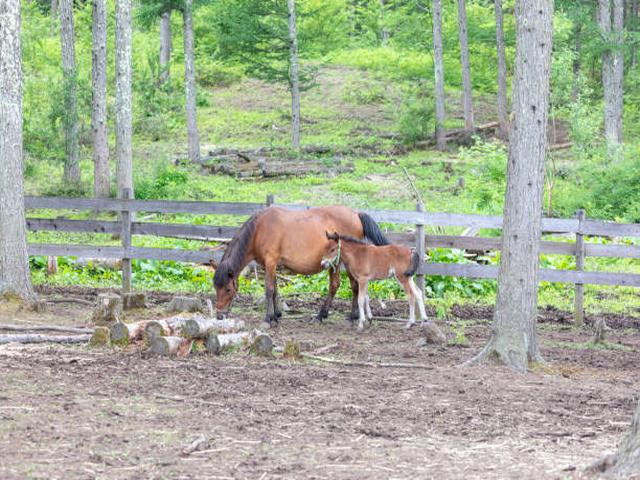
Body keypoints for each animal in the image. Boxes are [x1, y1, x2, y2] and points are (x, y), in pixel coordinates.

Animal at [213, 206, 389, 327]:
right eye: (215, 288)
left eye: (228, 289)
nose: (219, 316)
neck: (259, 229)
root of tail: (355, 213)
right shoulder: (270, 265)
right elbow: (275, 289)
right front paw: (276, 315)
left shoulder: (270, 261)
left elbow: (269, 289)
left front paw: (268, 318)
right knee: (342, 285)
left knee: (346, 285)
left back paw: (336, 316)